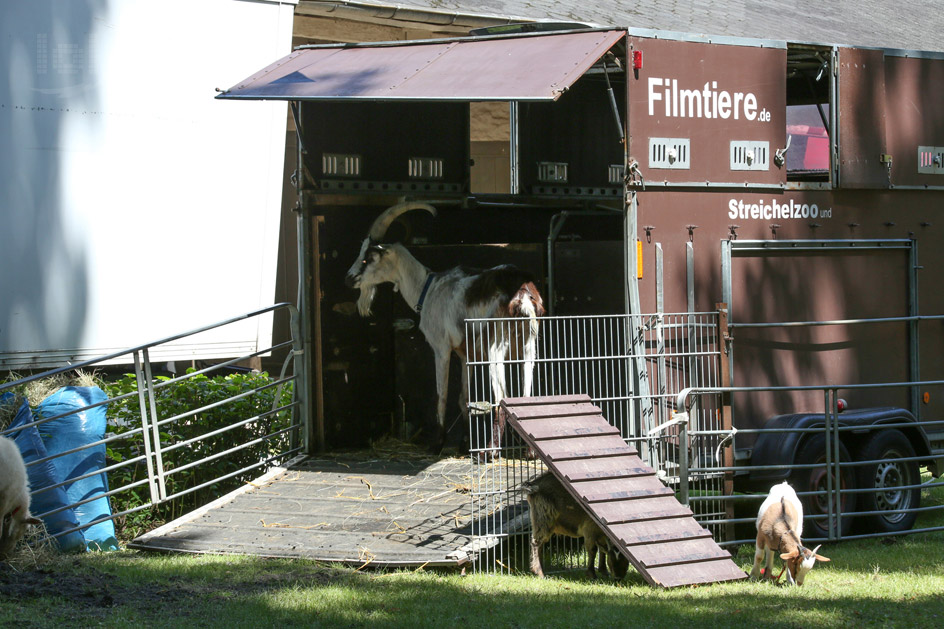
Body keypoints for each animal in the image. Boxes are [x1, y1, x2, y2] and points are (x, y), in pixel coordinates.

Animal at [342, 201, 544, 452]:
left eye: (369, 256)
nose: (348, 279)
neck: (428, 288)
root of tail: (522, 294)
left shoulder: (441, 348)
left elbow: (442, 395)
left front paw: (437, 443)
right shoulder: (466, 354)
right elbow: (464, 398)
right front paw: (464, 444)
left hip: (495, 344)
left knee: (501, 396)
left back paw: (490, 450)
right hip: (528, 344)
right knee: (527, 394)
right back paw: (529, 451)